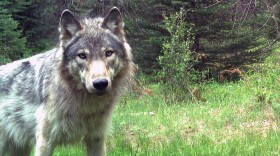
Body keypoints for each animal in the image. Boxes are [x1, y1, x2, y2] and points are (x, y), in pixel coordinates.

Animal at [0, 6, 133, 155]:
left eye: (108, 53)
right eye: (82, 55)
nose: (100, 84)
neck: (85, 106)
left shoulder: (96, 138)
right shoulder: (45, 141)